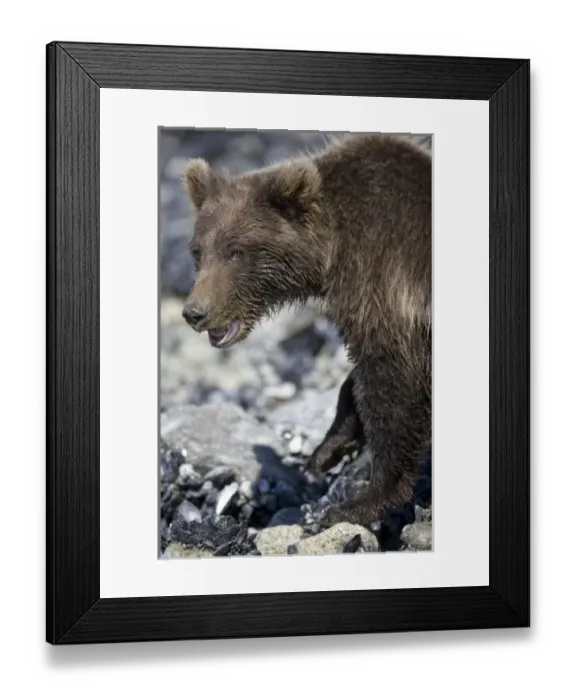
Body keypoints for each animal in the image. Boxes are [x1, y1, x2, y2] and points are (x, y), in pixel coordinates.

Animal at [181, 133, 431, 529]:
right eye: (198, 252)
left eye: (236, 251)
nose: (195, 312)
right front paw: (329, 447)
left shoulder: (384, 278)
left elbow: (391, 384)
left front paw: (359, 501)